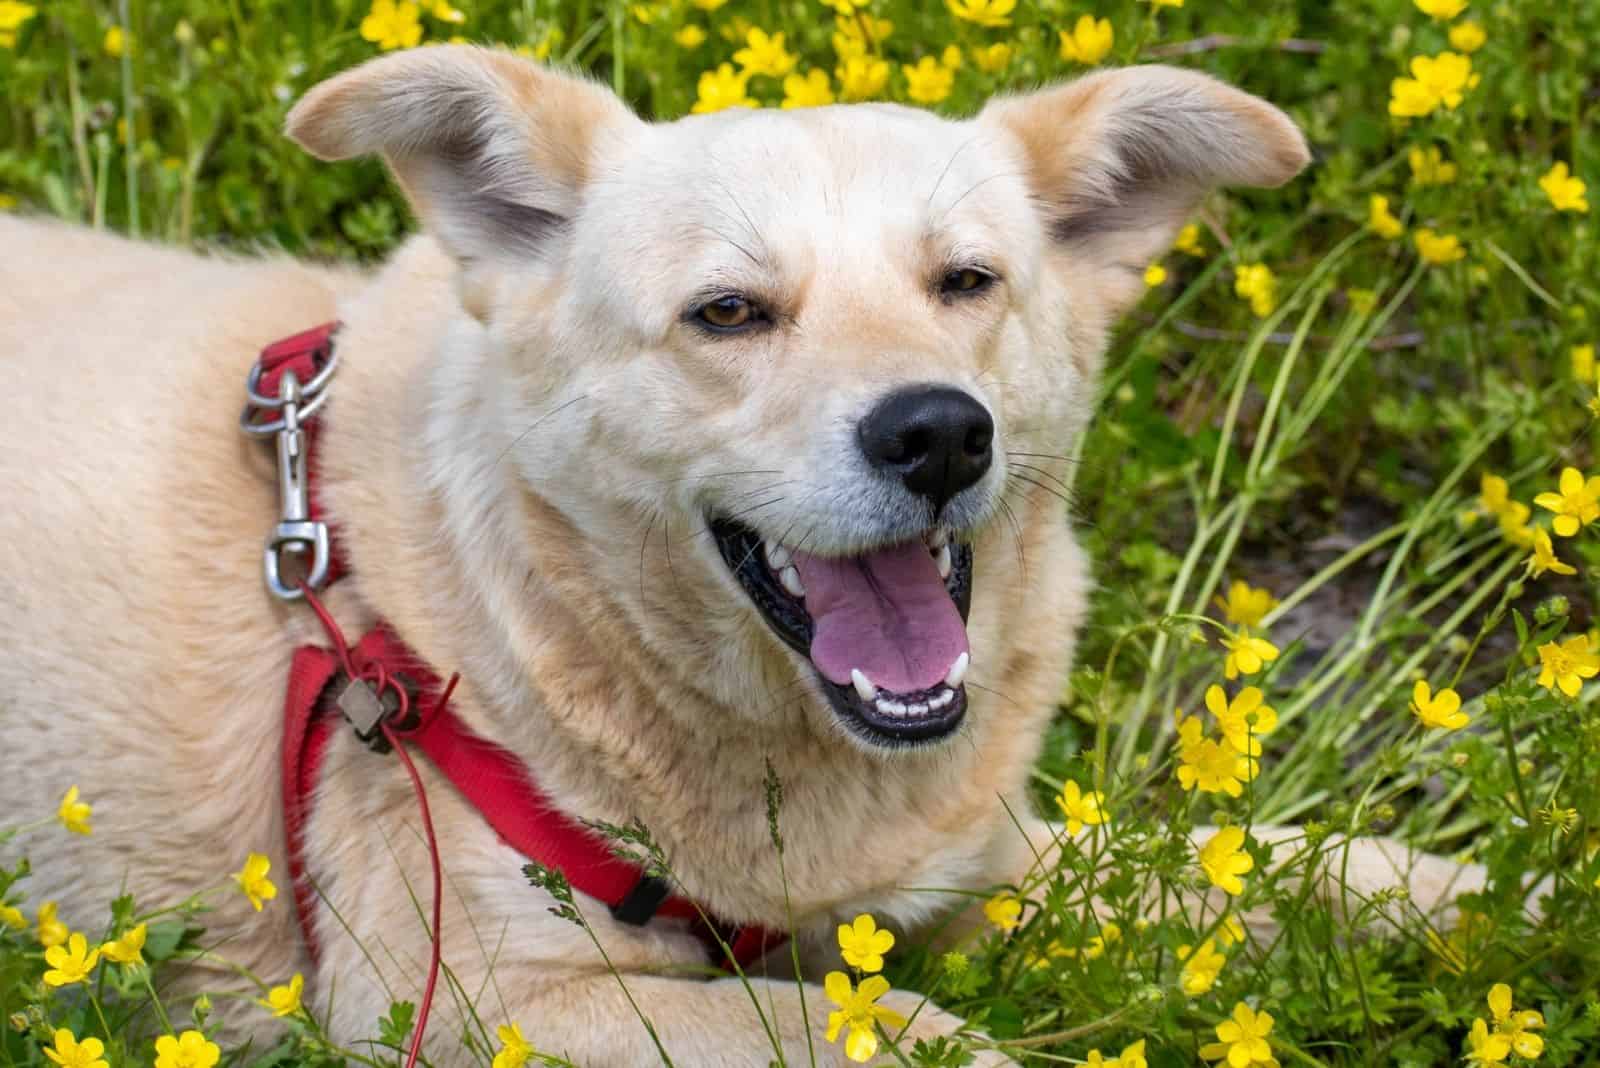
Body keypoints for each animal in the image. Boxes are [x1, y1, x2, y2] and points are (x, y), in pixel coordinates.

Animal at [0, 45, 1472, 1061]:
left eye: (967, 283)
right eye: (728, 313)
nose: (939, 436)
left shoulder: (966, 866)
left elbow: (1253, 853)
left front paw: (1466, 898)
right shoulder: (472, 1001)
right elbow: (875, 1031)